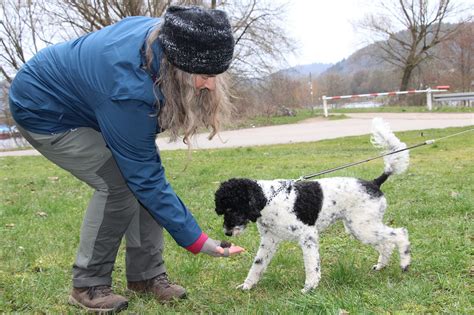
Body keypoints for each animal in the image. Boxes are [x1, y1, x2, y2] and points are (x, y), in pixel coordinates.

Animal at [215, 118, 412, 294]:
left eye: (232, 208)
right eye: (222, 210)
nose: (227, 232)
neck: (269, 198)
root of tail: (375, 182)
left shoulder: (308, 236)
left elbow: (311, 265)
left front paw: (310, 287)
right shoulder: (269, 240)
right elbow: (257, 265)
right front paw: (247, 286)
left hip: (363, 226)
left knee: (400, 234)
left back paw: (404, 263)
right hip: (360, 228)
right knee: (386, 244)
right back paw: (381, 266)